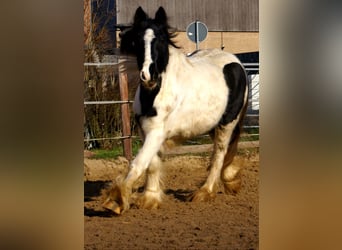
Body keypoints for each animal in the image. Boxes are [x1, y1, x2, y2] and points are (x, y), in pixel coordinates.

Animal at [103, 6, 250, 214]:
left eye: (161, 39)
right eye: (138, 40)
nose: (148, 75)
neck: (155, 94)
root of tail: (236, 61)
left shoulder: (157, 132)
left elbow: (139, 162)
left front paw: (116, 200)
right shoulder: (145, 131)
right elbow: (152, 164)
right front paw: (150, 198)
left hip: (227, 124)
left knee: (219, 155)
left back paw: (205, 192)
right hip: (213, 126)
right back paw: (230, 181)